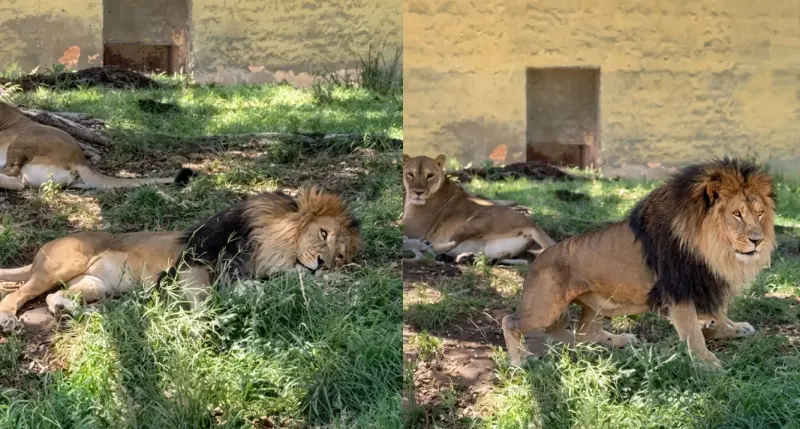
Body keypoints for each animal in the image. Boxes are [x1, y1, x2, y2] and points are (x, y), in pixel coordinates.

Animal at [0, 186, 362, 332]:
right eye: (323, 234)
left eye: (340, 254)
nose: (323, 264)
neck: (267, 251)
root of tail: (46, 246)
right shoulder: (191, 266)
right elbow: (203, 297)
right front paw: (206, 321)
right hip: (61, 265)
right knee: (17, 294)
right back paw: (8, 318)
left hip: (95, 283)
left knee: (55, 296)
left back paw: (67, 309)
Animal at [402, 154, 556, 265]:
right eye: (410, 174)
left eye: (430, 175)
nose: (418, 192)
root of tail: (533, 224)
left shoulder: (413, 228)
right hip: (493, 249)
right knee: (503, 259)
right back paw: (463, 257)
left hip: (476, 221)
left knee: (448, 243)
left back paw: (429, 247)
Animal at [502, 158, 776, 367]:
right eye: (737, 214)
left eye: (760, 213)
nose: (758, 240)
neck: (716, 250)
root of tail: (539, 258)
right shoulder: (679, 289)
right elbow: (692, 332)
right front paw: (707, 362)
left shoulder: (706, 282)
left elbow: (719, 314)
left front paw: (733, 329)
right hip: (546, 308)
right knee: (511, 322)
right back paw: (519, 361)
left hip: (598, 304)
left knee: (583, 331)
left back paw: (620, 341)